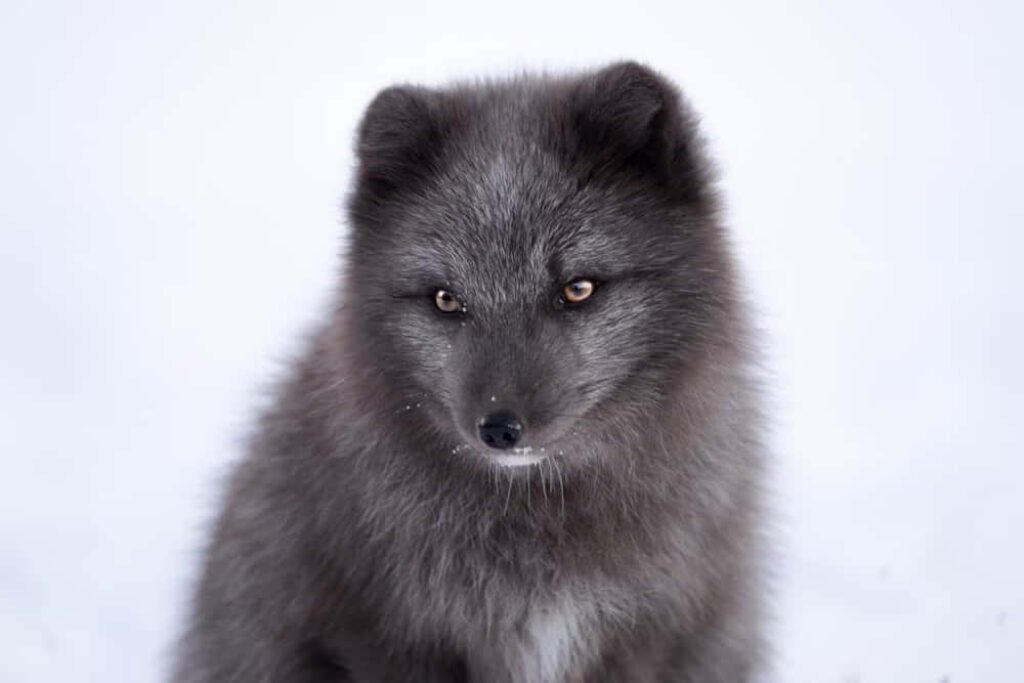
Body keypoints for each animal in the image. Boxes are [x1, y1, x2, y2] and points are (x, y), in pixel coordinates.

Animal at [172, 61, 767, 682]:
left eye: (577, 288)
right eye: (446, 299)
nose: (499, 428)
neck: (535, 524)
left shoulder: (649, 634)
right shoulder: (386, 635)